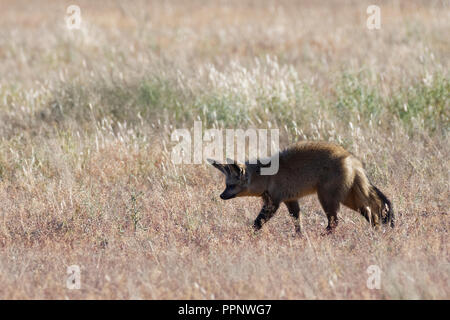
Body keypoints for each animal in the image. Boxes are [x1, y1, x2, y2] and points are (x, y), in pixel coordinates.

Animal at [207, 141, 394, 235]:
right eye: (226, 186)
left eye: (231, 186)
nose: (221, 196)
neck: (266, 177)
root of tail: (351, 158)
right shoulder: (290, 200)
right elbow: (297, 221)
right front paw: (299, 236)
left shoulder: (273, 203)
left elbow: (257, 222)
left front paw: (249, 235)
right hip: (348, 199)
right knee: (370, 212)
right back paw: (376, 231)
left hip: (327, 198)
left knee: (335, 221)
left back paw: (324, 236)